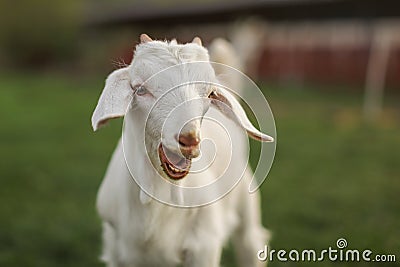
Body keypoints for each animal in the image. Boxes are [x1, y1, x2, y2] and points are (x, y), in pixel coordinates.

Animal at [91, 34, 272, 267]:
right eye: (140, 90)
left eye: (210, 93)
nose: (190, 140)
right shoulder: (116, 248)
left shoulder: (204, 246)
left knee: (249, 243)